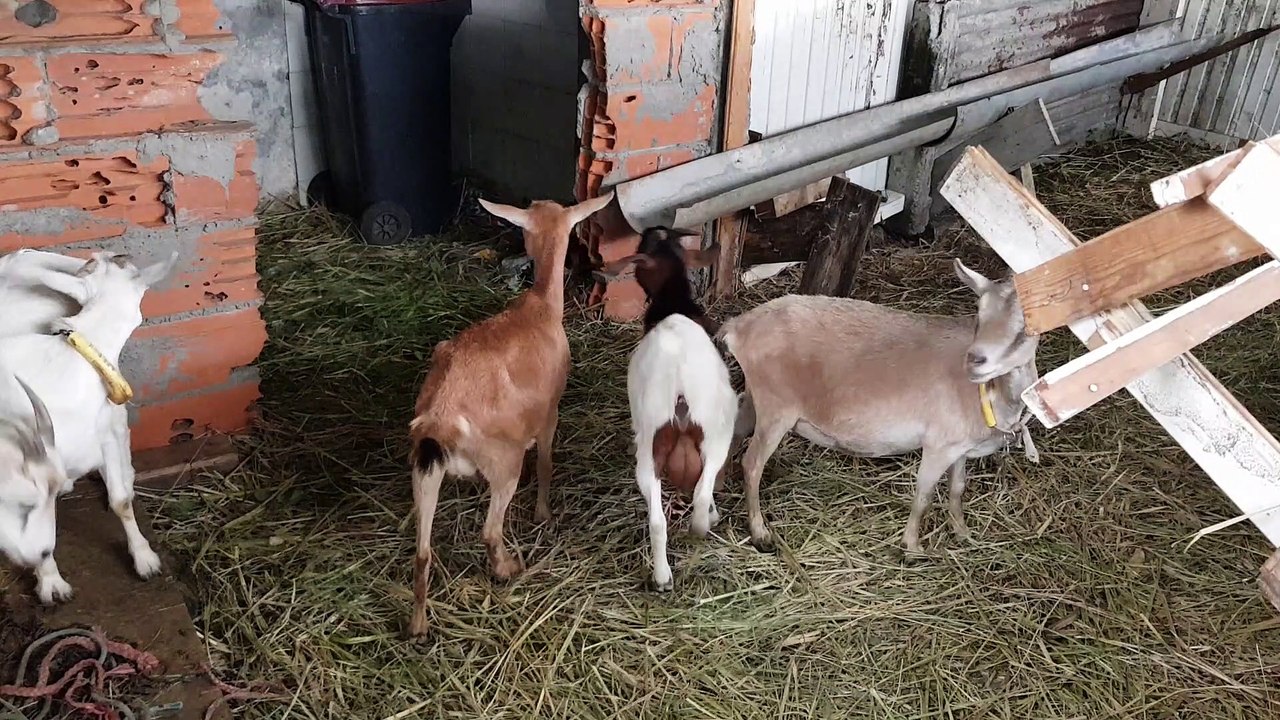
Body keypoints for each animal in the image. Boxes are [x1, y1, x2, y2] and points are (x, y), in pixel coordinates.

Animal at [407, 192, 614, 638]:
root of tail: (441, 419)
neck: (540, 307)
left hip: (424, 465)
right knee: (489, 530)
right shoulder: (550, 411)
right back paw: (509, 568)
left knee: (422, 552)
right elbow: (547, 463)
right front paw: (543, 514)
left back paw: (418, 626)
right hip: (504, 461)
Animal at [595, 227, 737, 591]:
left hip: (651, 451)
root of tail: (681, 398)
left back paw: (662, 577)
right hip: (715, 436)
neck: (673, 307)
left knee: (659, 519)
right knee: (700, 494)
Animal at [720, 259, 1039, 554]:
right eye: (978, 317)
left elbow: (957, 488)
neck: (990, 397)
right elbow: (923, 495)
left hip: (757, 397)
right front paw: (912, 548)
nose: (975, 359)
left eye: (1025, 330)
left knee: (735, 427)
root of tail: (739, 326)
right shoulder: (938, 445)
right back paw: (760, 533)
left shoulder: (958, 447)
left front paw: (962, 533)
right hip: (777, 407)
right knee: (752, 464)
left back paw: (719, 484)